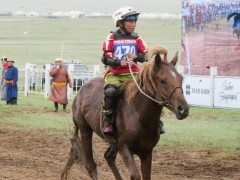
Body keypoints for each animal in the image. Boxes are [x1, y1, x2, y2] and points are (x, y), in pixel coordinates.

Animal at [61, 45, 189, 179]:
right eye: (163, 80)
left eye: (181, 79)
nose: (183, 109)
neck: (140, 116)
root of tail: (81, 90)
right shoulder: (124, 147)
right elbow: (135, 175)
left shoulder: (147, 152)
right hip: (85, 129)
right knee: (91, 165)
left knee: (108, 157)